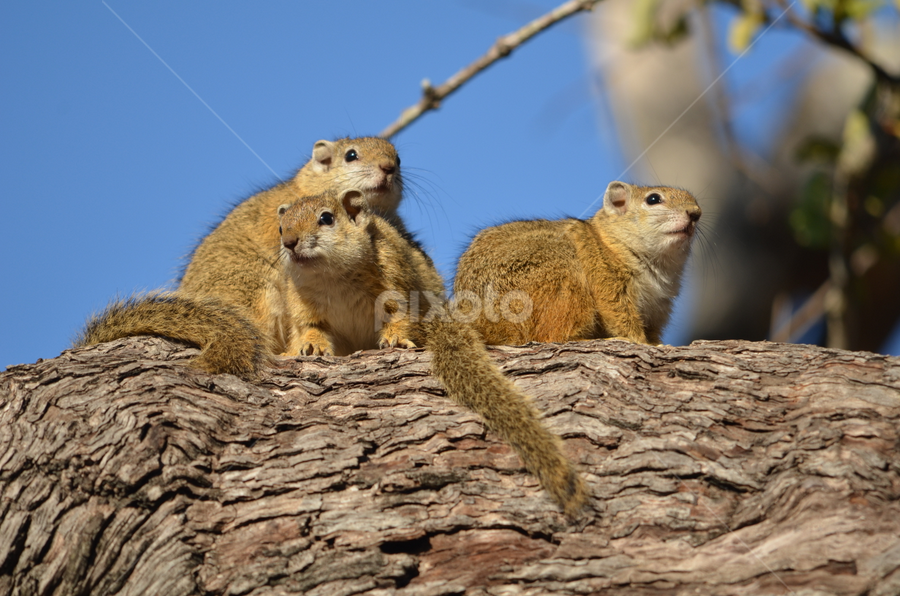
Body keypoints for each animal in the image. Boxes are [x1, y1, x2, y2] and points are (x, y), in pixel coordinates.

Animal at [453, 181, 701, 346]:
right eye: (653, 199)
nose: (695, 213)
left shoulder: (659, 307)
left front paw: (657, 343)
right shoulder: (606, 278)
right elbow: (620, 315)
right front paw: (639, 342)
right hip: (562, 283)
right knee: (553, 336)